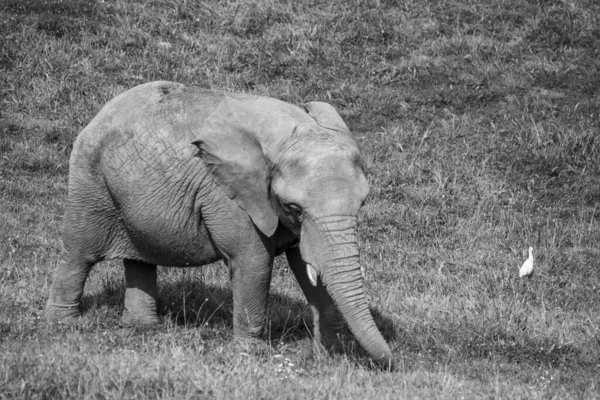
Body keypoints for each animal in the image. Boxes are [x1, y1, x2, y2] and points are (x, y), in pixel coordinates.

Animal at [47, 81, 394, 368]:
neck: (286, 132)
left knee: (139, 257)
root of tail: (103, 110)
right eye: (293, 207)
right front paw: (251, 355)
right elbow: (253, 261)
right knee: (79, 253)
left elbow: (307, 265)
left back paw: (143, 327)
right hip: (89, 181)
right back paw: (65, 325)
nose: (391, 362)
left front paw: (330, 354)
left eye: (362, 203)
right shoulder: (227, 195)